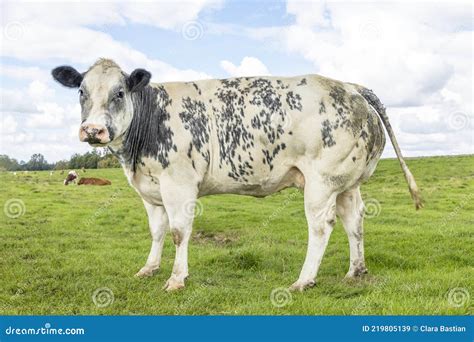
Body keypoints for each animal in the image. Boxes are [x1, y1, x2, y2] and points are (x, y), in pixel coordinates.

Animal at [51, 58, 422, 292]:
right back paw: (355, 272)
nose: (93, 130)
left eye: (119, 93)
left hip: (322, 181)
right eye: (82, 92)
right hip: (347, 182)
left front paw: (176, 279)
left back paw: (303, 281)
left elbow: (178, 233)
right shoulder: (150, 190)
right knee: (353, 220)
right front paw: (149, 268)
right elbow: (156, 232)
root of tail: (350, 86)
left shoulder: (179, 185)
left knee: (321, 227)